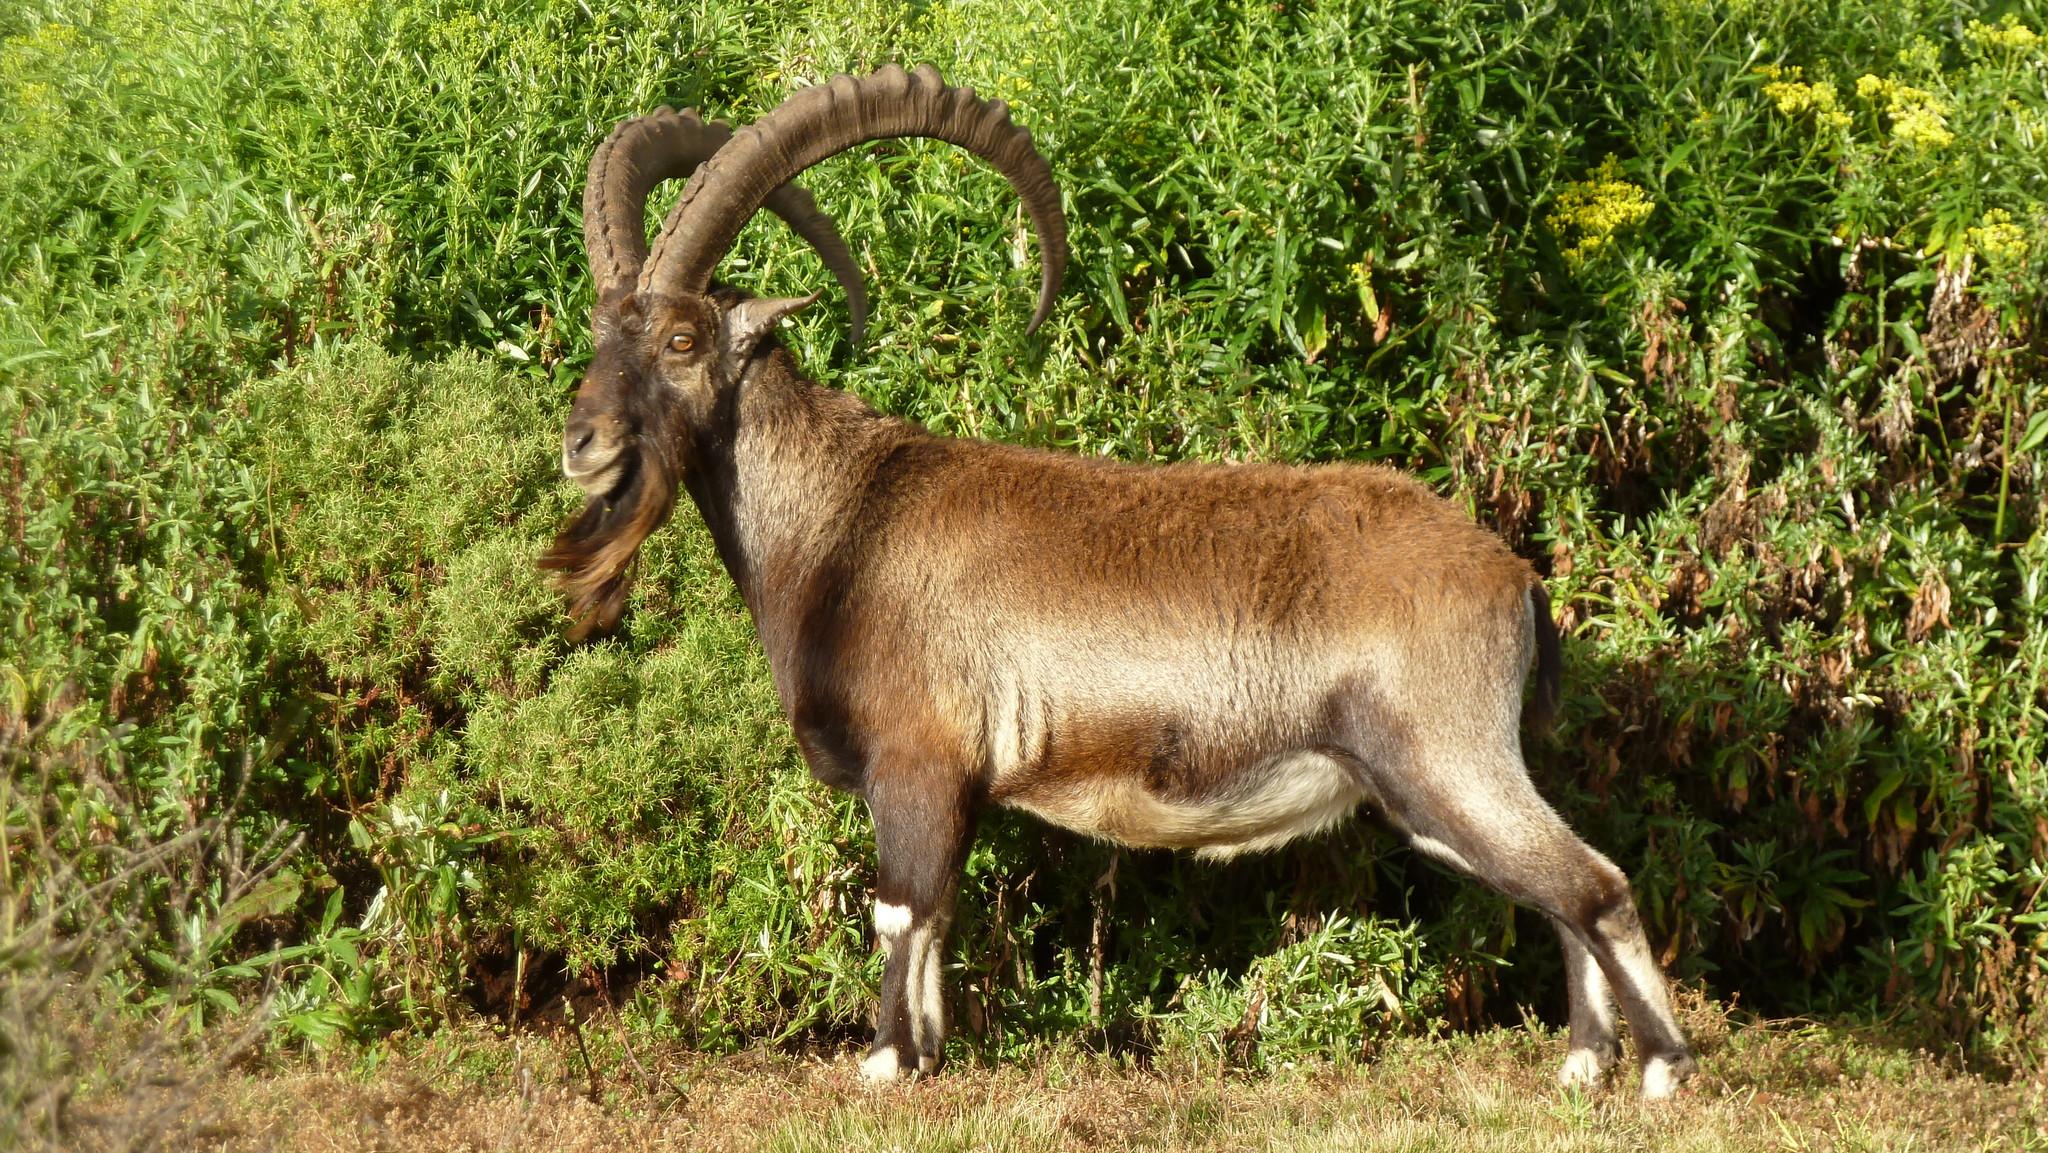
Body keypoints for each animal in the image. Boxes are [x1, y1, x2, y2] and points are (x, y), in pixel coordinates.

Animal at [541, 64, 1697, 1099]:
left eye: (682, 337)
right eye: (601, 333)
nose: (582, 443)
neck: (840, 525)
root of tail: (1513, 577)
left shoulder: (917, 760)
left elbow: (901, 909)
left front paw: (881, 1062)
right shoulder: (953, 782)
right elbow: (938, 916)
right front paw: (928, 1055)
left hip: (1443, 755)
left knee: (1592, 883)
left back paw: (1659, 1070)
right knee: (1559, 890)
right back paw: (1582, 1064)